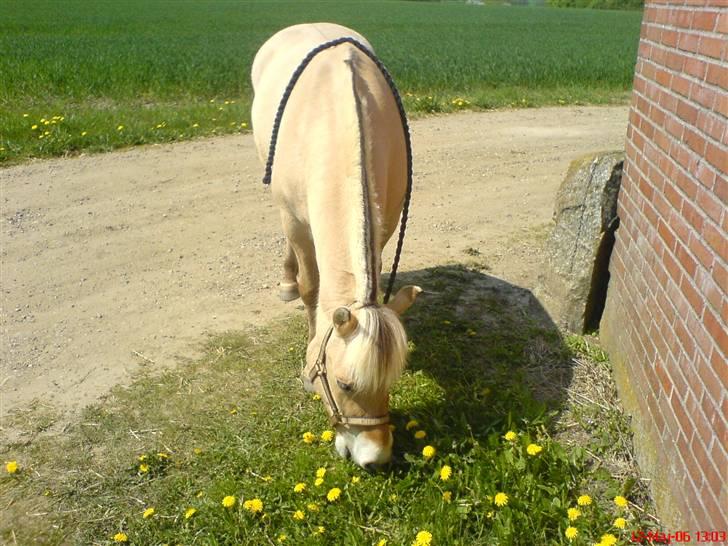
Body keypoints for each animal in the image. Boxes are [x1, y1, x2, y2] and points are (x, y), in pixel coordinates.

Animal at [251, 23, 421, 469]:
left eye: (390, 382)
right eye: (344, 384)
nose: (375, 459)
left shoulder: (383, 224)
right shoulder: (296, 222)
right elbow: (312, 289)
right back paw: (286, 283)